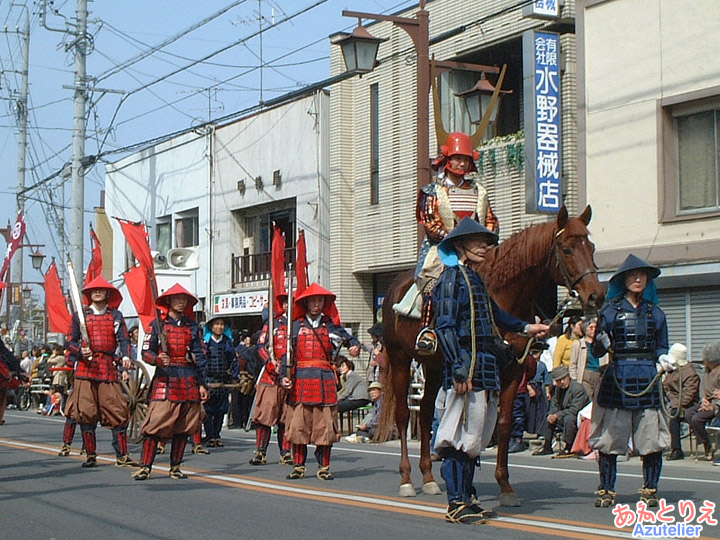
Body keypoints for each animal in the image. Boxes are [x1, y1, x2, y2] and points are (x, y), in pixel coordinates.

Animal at [380, 205, 604, 504]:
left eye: (591, 247)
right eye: (567, 249)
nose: (596, 295)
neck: (503, 294)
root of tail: (395, 285)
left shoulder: (514, 369)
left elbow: (504, 423)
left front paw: (505, 486)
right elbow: (474, 427)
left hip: (434, 366)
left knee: (426, 412)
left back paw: (428, 477)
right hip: (400, 357)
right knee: (405, 414)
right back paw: (406, 479)